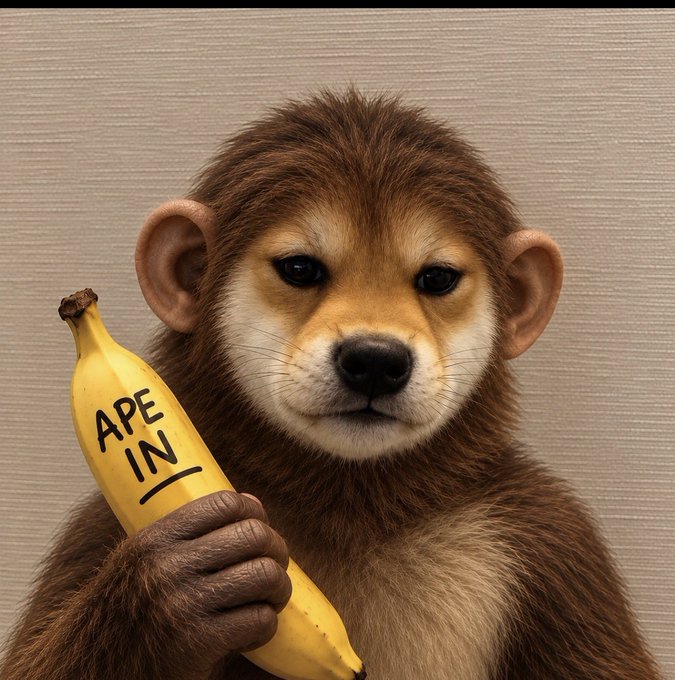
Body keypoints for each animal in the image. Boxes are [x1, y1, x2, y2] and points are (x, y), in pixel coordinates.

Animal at [0, 90, 662, 680]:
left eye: (437, 278)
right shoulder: (98, 532)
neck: (353, 510)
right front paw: (171, 587)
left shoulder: (555, 542)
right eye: (300, 268)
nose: (374, 359)